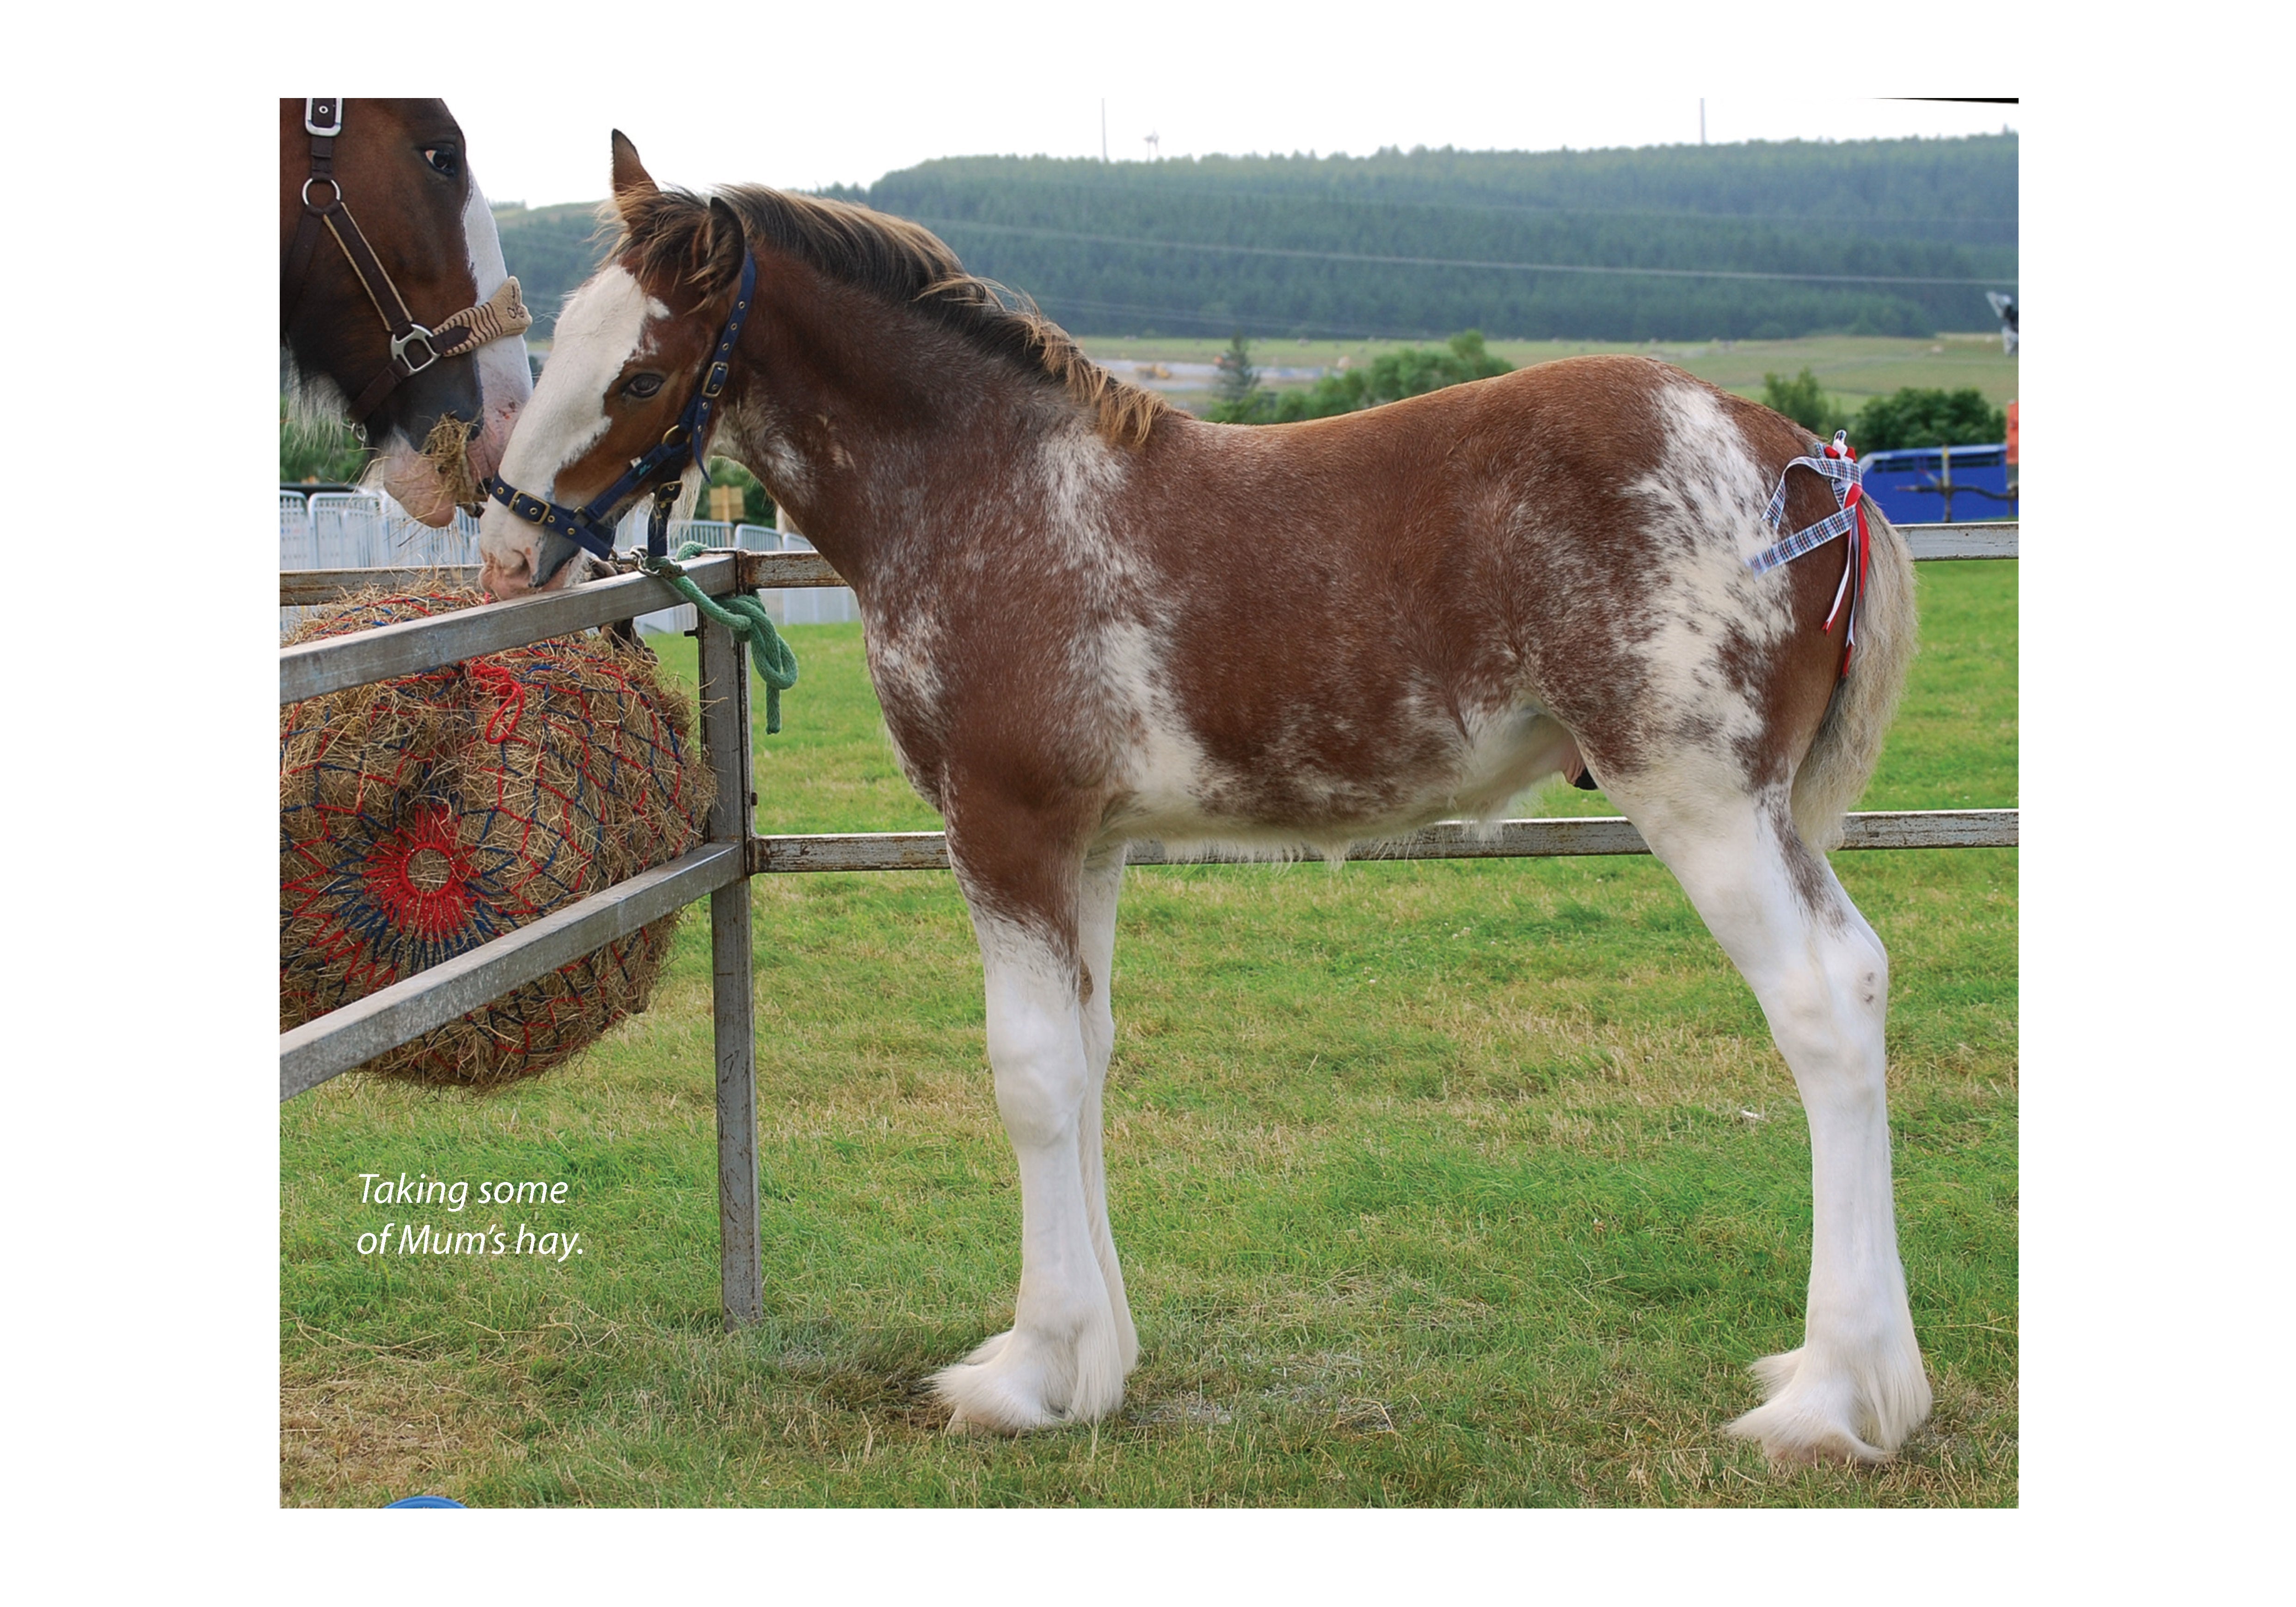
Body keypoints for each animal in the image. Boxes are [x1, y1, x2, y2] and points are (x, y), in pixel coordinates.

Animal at [478, 134, 1930, 1466]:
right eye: (561, 339)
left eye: (641, 375)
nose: (504, 550)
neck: (989, 490)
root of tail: (1806, 461)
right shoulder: (1089, 845)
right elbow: (1086, 1053)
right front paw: (1089, 1362)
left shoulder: (1003, 825)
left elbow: (1028, 1074)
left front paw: (1027, 1377)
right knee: (1856, 979)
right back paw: (1867, 1379)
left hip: (1701, 799)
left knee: (1824, 997)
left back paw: (1829, 1399)